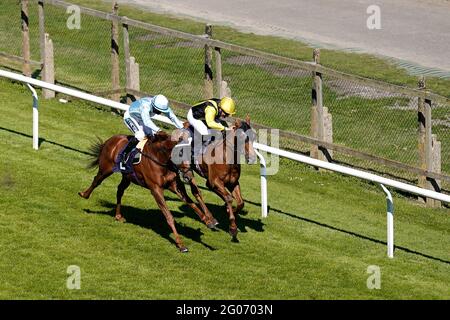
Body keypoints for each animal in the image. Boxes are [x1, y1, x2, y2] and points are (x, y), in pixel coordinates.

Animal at [78, 132, 218, 252]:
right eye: (180, 154)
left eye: (191, 155)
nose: (189, 176)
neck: (161, 159)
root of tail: (111, 139)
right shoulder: (156, 189)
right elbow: (169, 216)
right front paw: (180, 244)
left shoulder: (174, 185)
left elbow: (191, 203)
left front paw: (208, 221)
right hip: (106, 168)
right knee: (96, 181)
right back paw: (84, 194)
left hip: (127, 176)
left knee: (120, 190)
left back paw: (118, 215)